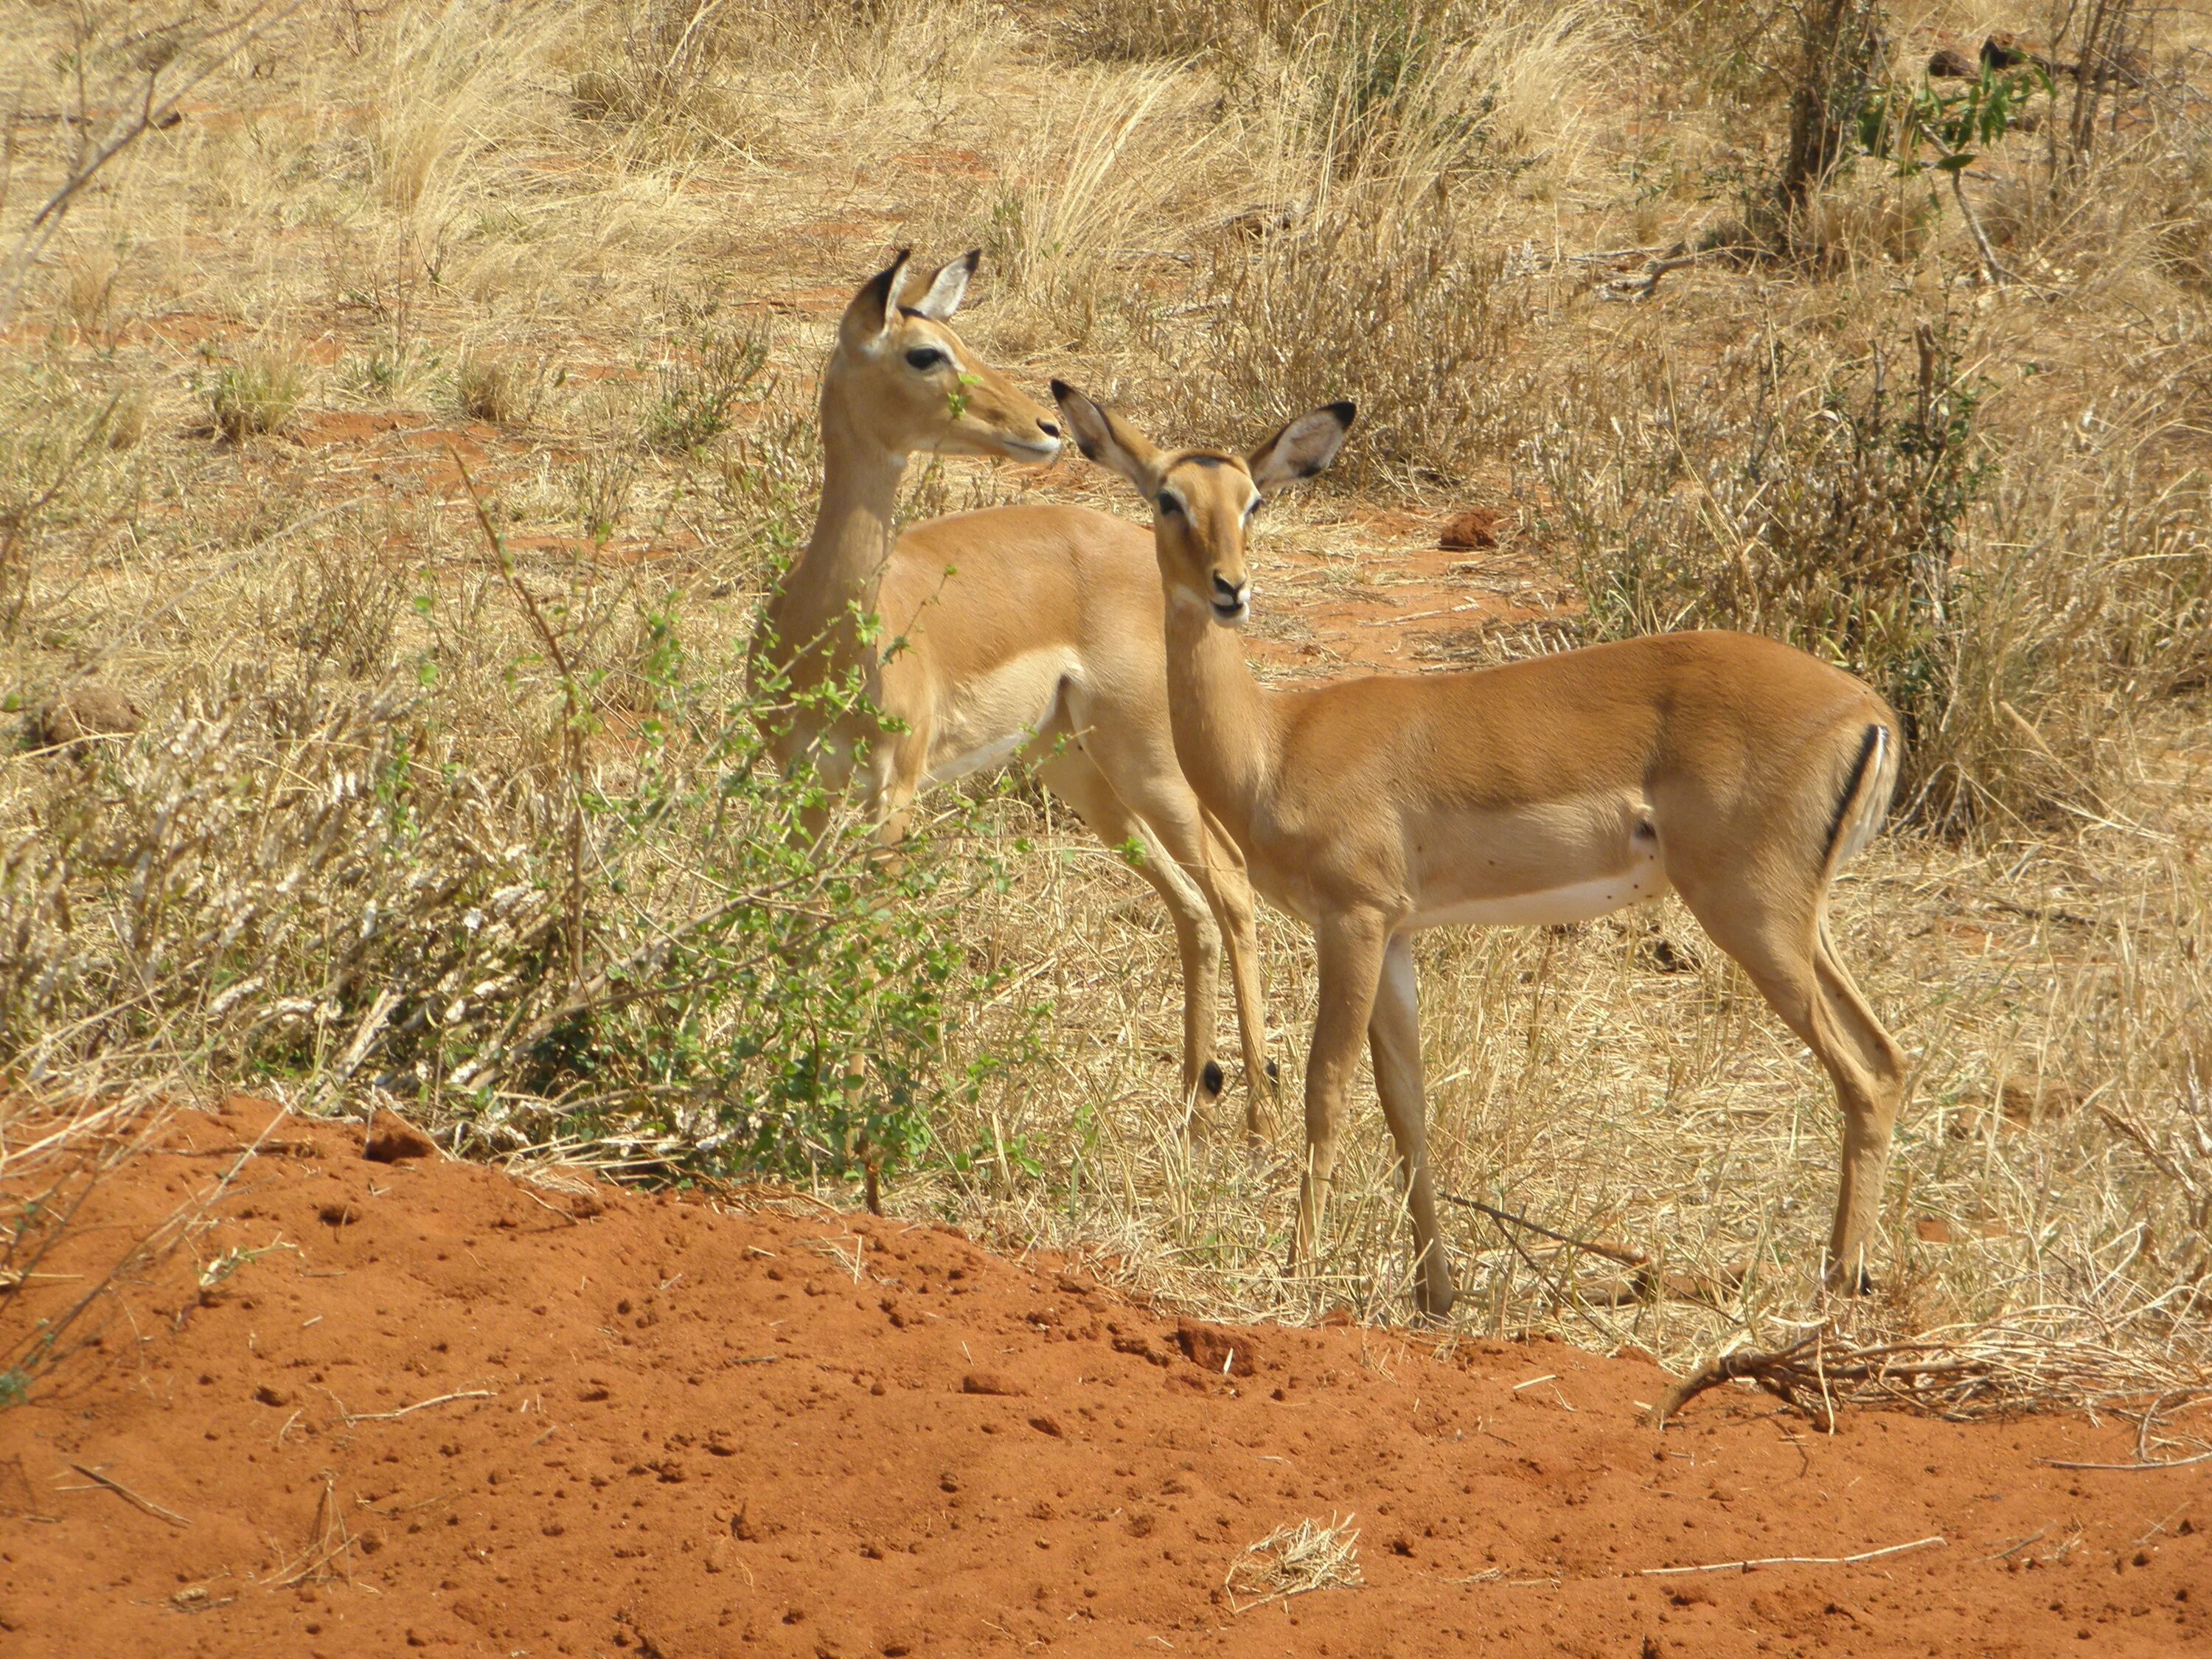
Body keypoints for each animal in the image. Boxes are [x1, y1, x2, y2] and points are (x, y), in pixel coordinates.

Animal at [757, 250, 1283, 1133]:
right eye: (926, 353)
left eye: (960, 340)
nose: (1045, 428)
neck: (831, 629)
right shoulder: (803, 791)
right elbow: (801, 934)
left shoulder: (894, 794)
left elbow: (866, 939)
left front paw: (846, 1112)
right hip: (1077, 770)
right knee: (1193, 905)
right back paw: (1192, 1098)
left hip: (1148, 762)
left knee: (1234, 885)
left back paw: (1258, 1115)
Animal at [1048, 383, 1902, 1318]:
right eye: (1169, 499)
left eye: (1253, 503)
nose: (1230, 589)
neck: (1276, 744)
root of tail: (1869, 712)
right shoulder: (1396, 935)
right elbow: (1407, 1104)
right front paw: (1436, 1290)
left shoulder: (1351, 921)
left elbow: (1326, 1089)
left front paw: (1297, 1271)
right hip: (1798, 921)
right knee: (1889, 1061)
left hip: (1751, 913)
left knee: (1860, 1077)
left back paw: (1836, 1290)